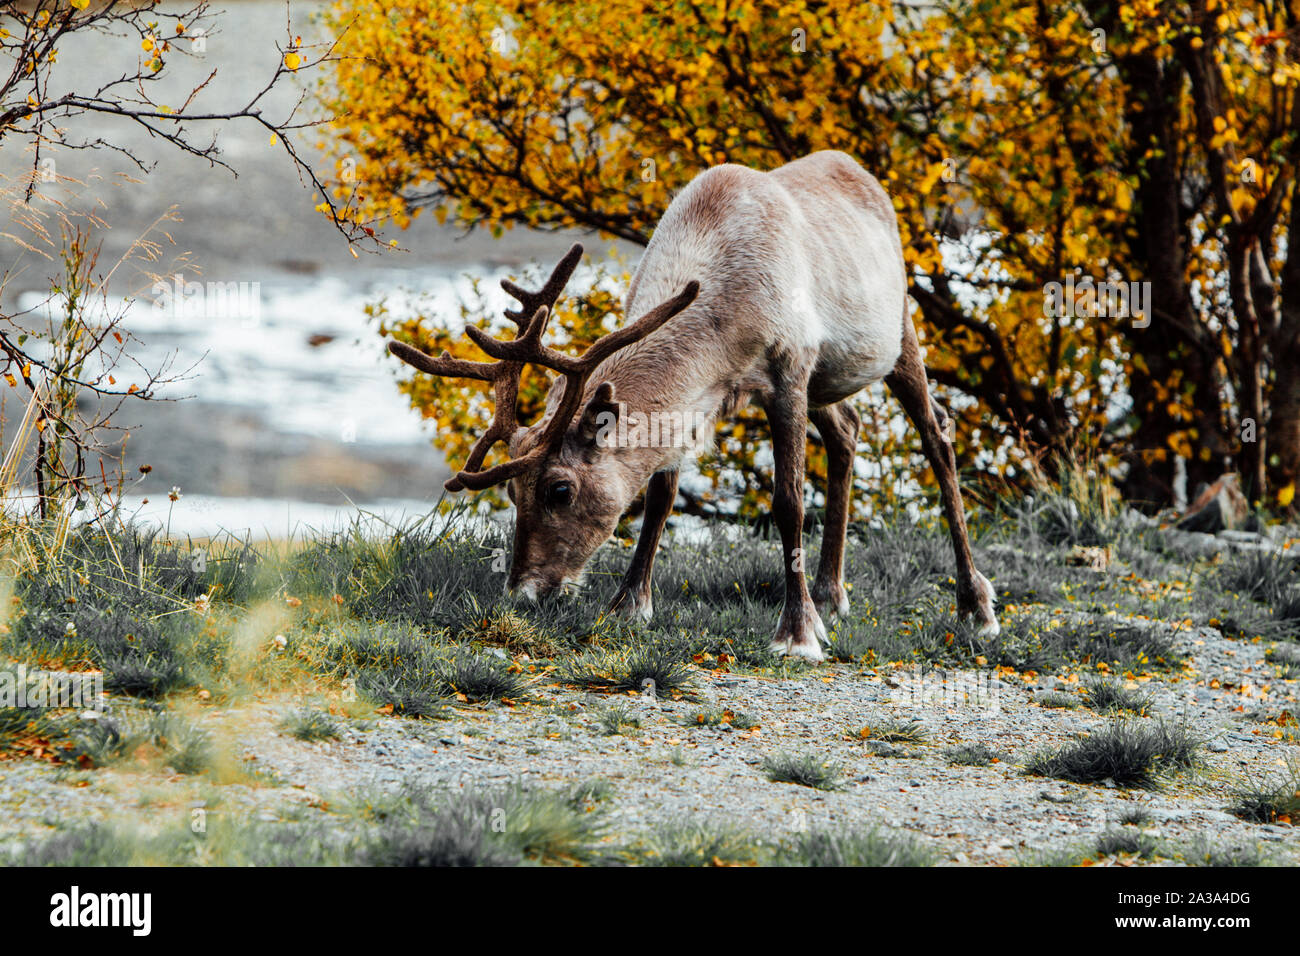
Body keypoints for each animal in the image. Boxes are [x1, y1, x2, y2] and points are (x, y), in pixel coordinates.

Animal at [388, 150, 998, 661]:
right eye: (512, 491)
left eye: (559, 490)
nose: (523, 591)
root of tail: (863, 173)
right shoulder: (700, 403)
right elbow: (660, 497)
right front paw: (629, 604)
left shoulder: (790, 367)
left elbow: (788, 502)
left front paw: (797, 633)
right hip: (828, 379)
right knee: (846, 431)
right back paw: (832, 593)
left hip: (898, 328)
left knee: (938, 436)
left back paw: (975, 603)